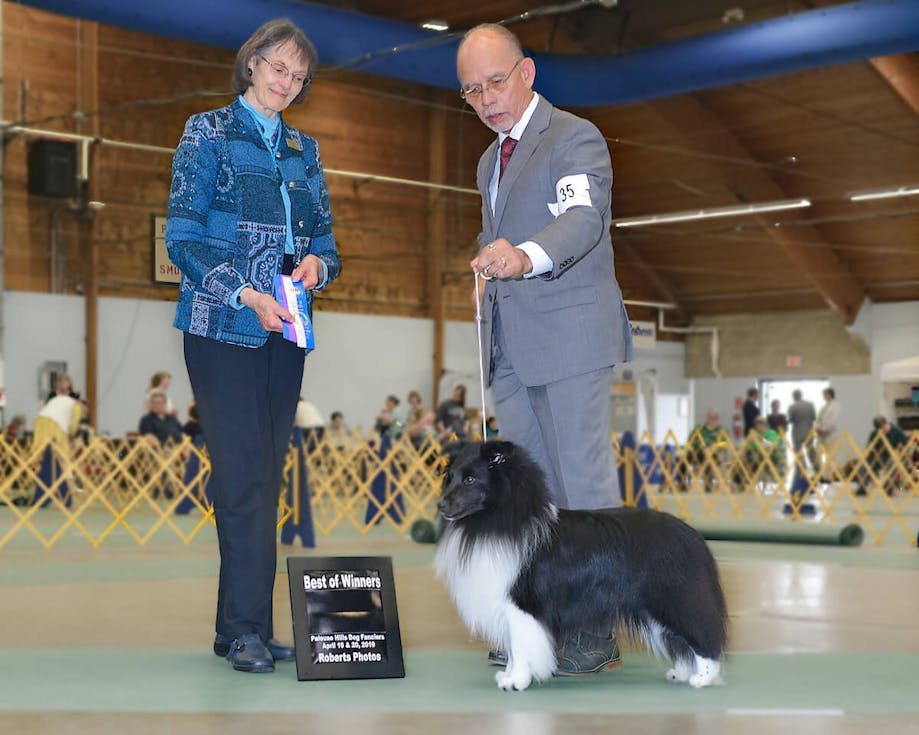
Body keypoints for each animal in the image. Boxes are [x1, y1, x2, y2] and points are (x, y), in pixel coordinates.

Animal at [432, 440, 724, 692]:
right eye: (449, 477)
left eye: (470, 479)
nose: (440, 504)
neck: (494, 519)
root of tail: (691, 535)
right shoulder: (508, 607)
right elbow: (515, 649)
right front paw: (508, 675)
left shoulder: (522, 604)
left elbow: (521, 646)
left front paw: (516, 681)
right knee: (682, 641)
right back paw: (682, 672)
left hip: (675, 598)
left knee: (702, 635)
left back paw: (703, 678)